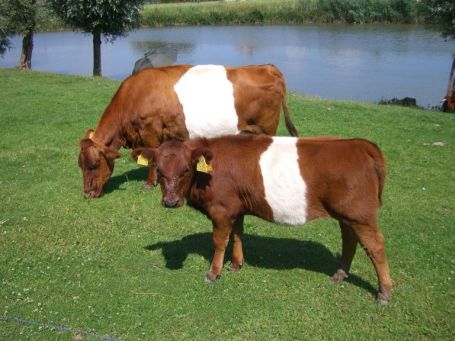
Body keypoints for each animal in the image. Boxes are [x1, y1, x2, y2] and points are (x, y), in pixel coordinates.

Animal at [78, 63, 300, 198]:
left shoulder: (149, 131)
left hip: (267, 127)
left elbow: (151, 160)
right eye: (80, 165)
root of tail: (267, 67)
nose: (87, 193)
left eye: (94, 164)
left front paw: (149, 183)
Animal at [131, 133, 392, 302]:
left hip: (360, 214)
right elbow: (237, 236)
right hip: (347, 215)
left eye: (186, 169)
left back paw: (384, 292)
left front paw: (213, 273)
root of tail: (359, 144)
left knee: (375, 246)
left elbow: (220, 241)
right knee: (350, 241)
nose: (170, 202)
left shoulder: (221, 209)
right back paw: (340, 274)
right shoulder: (236, 208)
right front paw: (236, 264)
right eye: (159, 170)